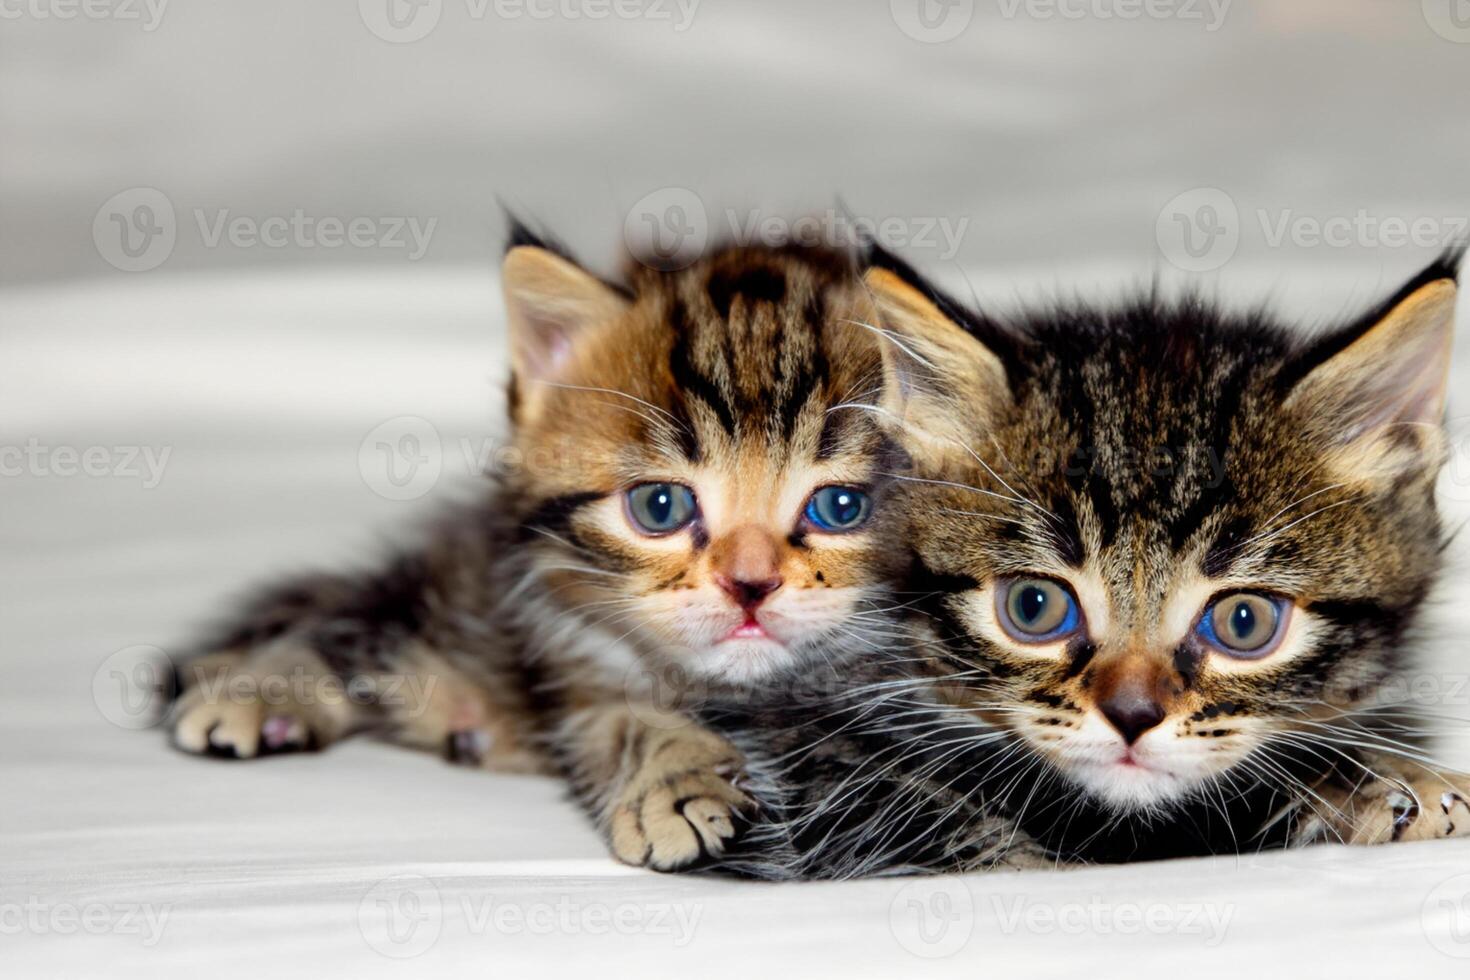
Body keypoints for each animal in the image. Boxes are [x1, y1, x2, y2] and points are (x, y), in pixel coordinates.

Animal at [169, 233, 905, 869]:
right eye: (659, 506)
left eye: (842, 508)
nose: (749, 585)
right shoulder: (572, 665)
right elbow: (630, 721)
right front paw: (673, 783)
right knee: (362, 623)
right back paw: (255, 691)